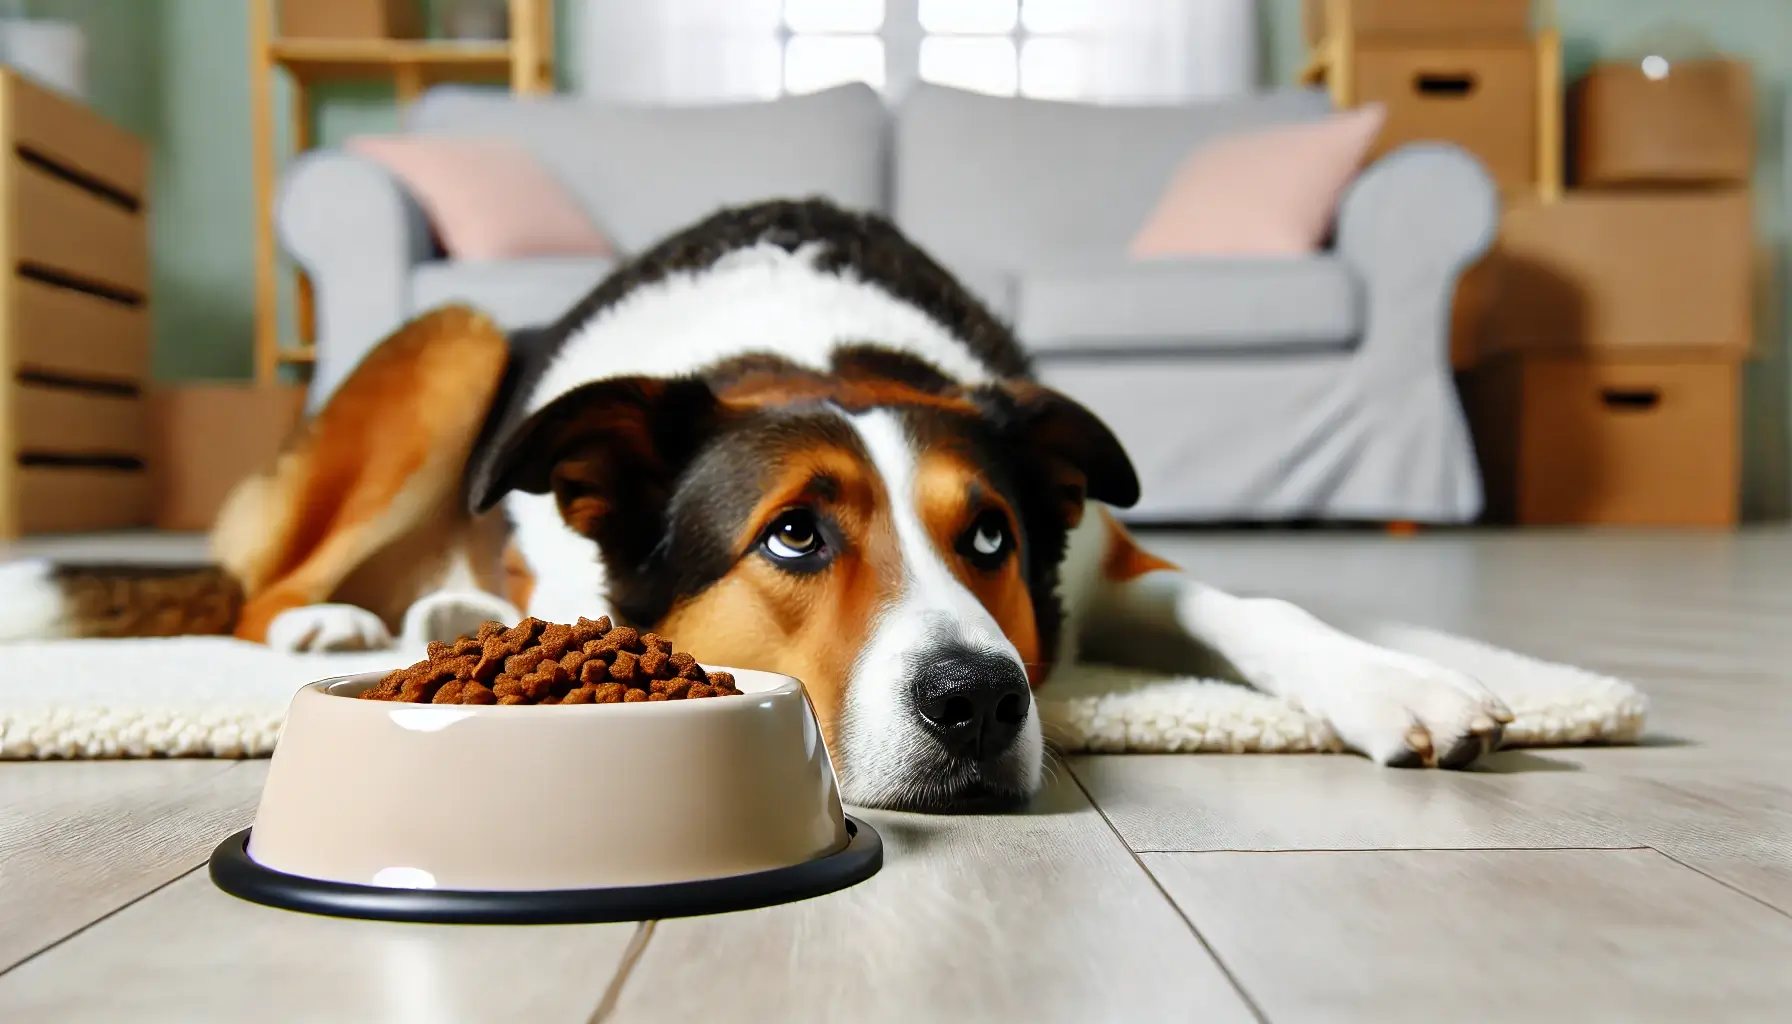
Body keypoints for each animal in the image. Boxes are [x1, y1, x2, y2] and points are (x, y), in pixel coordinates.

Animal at [3, 198, 1512, 810]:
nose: (978, 702)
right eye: (795, 532)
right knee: (266, 581)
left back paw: (432, 612)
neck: (804, 348)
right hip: (456, 343)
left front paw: (1397, 683)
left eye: (990, 537)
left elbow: (1243, 599)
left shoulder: (1100, 551)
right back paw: (331, 626)